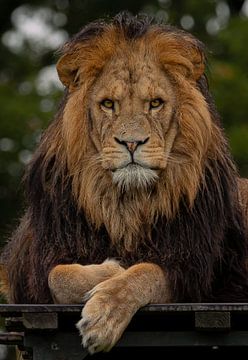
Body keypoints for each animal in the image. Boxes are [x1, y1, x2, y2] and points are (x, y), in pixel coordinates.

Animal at [0, 11, 248, 354]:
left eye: (155, 103)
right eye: (108, 104)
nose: (131, 143)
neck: (126, 204)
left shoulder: (192, 271)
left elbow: (146, 272)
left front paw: (105, 313)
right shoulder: (31, 269)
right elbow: (58, 276)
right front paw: (112, 269)